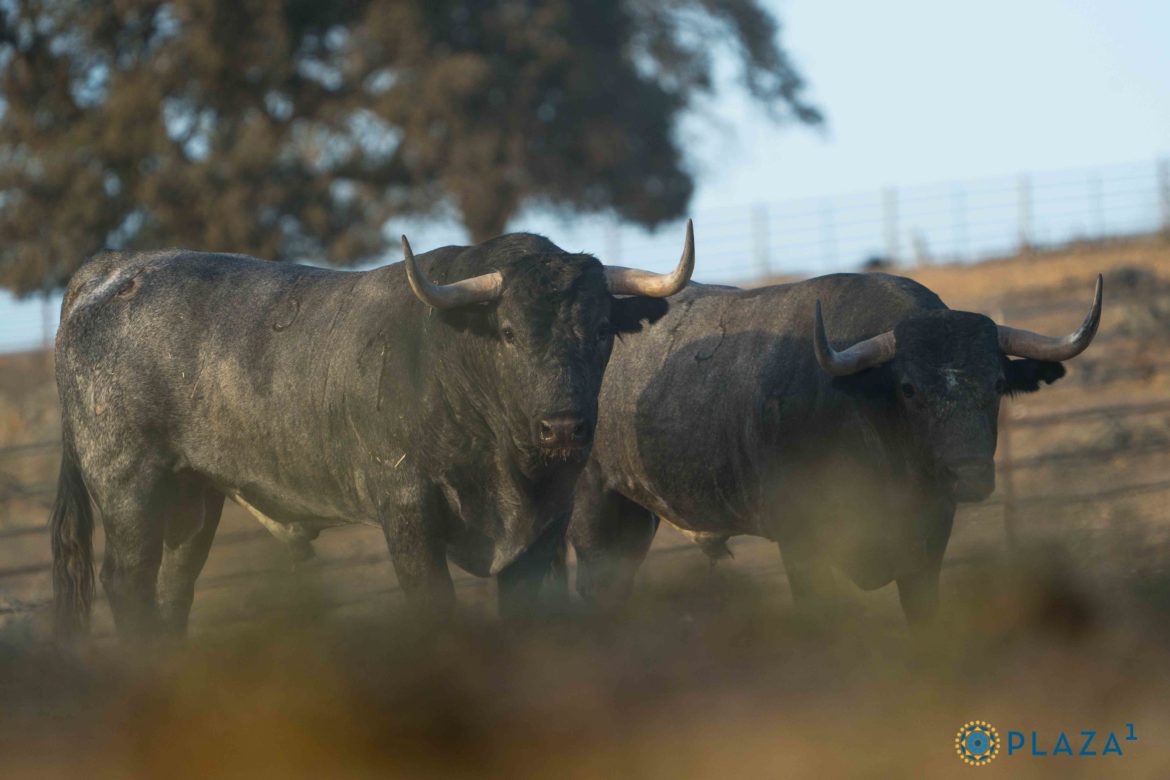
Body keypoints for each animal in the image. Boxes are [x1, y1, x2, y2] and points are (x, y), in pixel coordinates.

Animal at [50, 225, 692, 640]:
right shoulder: (407, 512)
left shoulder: (543, 528)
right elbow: (434, 607)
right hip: (128, 487)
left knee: (172, 590)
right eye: (509, 332)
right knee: (127, 584)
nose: (562, 427)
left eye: (604, 329)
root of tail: (116, 268)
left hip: (193, 499)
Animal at [563, 274, 1095, 622]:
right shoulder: (800, 544)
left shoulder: (928, 546)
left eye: (998, 383)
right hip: (593, 516)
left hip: (634, 522)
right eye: (908, 389)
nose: (968, 475)